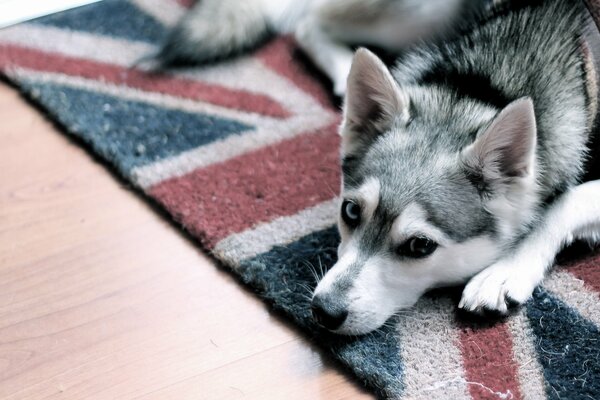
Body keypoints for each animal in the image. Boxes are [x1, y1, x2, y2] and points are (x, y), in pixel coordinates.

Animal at [158, 0, 600, 334]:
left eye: (420, 246)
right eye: (351, 211)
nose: (324, 311)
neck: (481, 88)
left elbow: (566, 202)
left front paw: (505, 271)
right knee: (309, 22)